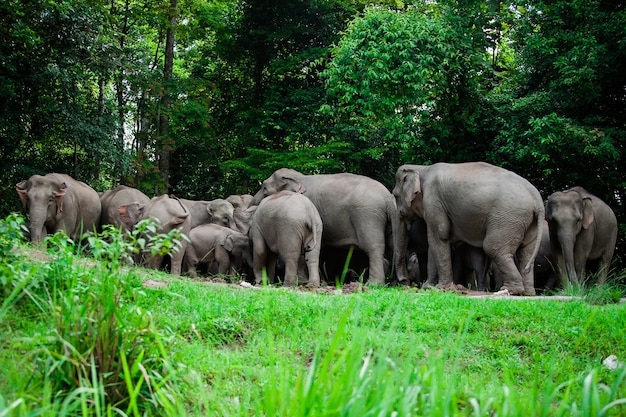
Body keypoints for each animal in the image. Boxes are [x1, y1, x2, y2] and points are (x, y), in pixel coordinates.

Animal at [250, 167, 392, 284]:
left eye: (264, 188)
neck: (299, 177)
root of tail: (388, 197)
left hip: (368, 216)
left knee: (373, 247)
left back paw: (373, 284)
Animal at [392, 161, 544, 294]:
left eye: (395, 195)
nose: (403, 281)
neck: (421, 168)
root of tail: (537, 198)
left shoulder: (433, 200)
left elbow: (438, 236)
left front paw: (442, 288)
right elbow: (434, 242)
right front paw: (428, 287)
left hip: (508, 217)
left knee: (493, 247)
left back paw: (509, 291)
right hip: (526, 221)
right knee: (526, 251)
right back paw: (528, 293)